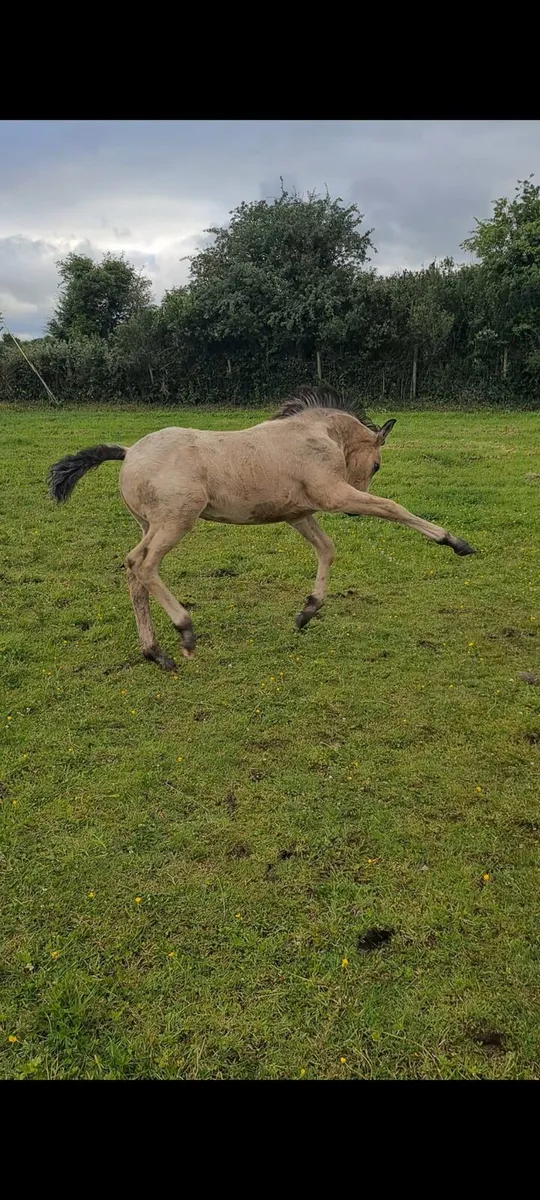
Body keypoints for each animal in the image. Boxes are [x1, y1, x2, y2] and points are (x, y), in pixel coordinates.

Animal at [47, 386, 475, 672]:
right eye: (376, 465)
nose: (355, 514)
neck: (316, 435)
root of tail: (129, 451)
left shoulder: (297, 513)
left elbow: (326, 548)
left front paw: (307, 612)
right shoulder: (334, 495)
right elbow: (393, 508)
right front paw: (456, 542)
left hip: (147, 524)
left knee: (132, 570)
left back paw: (156, 654)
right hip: (176, 520)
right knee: (143, 564)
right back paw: (185, 631)